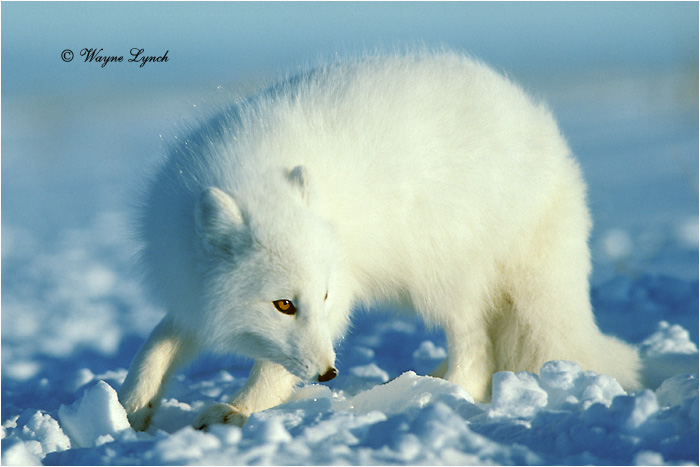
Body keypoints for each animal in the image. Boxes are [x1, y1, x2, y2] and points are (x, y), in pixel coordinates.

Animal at [118, 51, 641, 431]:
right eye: (284, 305)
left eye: (323, 297)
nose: (329, 375)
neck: (254, 178)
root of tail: (555, 159)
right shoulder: (190, 291)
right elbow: (156, 344)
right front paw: (130, 406)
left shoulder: (341, 292)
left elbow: (274, 369)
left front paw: (239, 411)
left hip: (443, 274)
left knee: (476, 349)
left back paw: (440, 393)